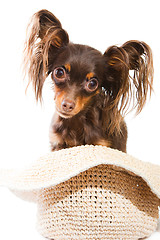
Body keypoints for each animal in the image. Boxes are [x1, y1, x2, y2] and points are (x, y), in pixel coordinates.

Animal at [23, 9, 152, 152]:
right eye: (59, 73)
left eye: (92, 83)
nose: (67, 105)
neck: (76, 121)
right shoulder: (57, 145)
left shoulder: (102, 146)